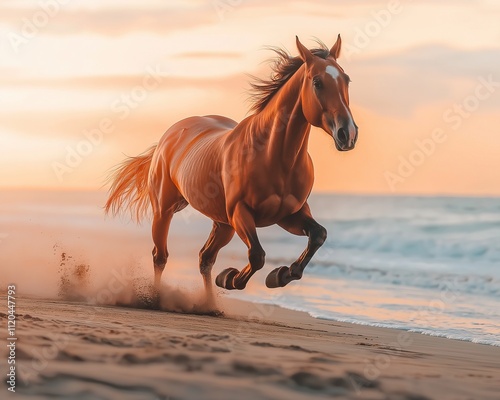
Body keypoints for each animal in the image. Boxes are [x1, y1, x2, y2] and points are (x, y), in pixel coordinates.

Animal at [105, 35, 358, 304]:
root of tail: (170, 135)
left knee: (205, 258)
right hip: (165, 211)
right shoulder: (241, 213)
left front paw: (281, 274)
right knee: (160, 256)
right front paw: (232, 278)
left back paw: (210, 305)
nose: (348, 134)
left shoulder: (289, 214)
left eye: (346, 80)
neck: (275, 158)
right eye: (317, 82)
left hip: (222, 224)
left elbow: (318, 234)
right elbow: (257, 255)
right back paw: (157, 298)